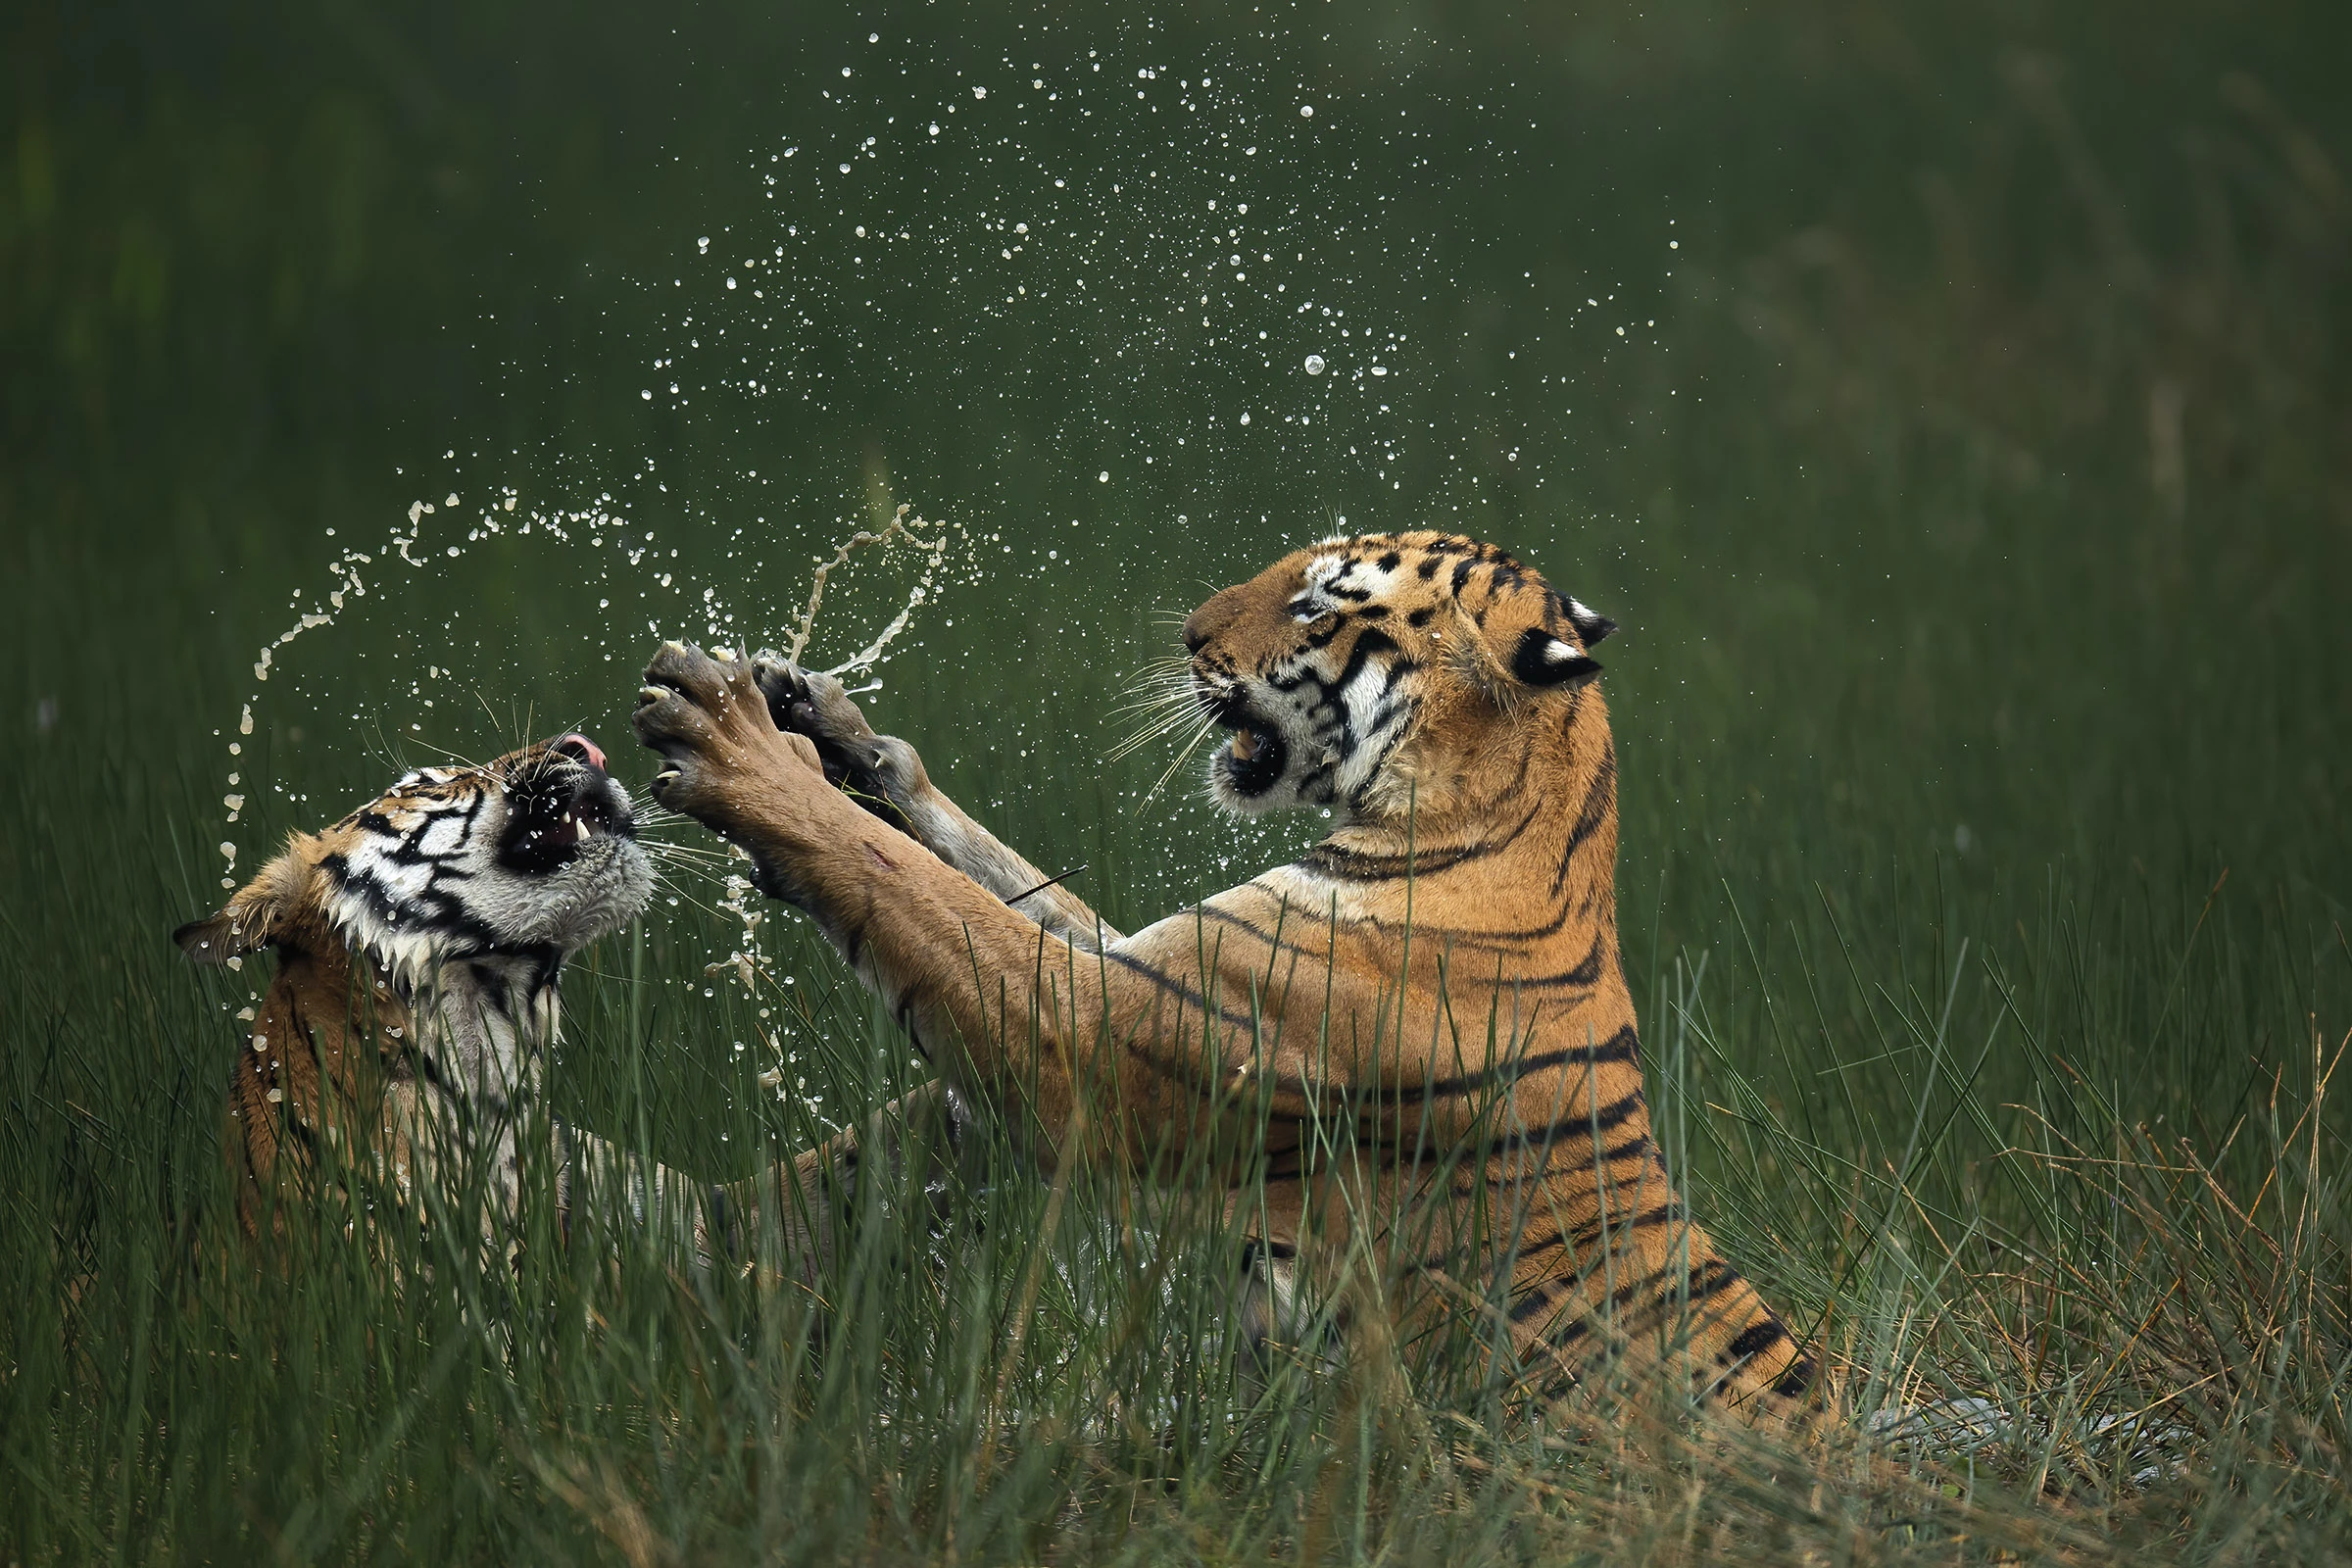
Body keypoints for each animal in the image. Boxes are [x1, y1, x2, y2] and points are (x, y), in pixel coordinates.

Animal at [630, 531, 1815, 1410]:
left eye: (1319, 605)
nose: (1189, 633)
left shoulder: (1095, 1037)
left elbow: (914, 890)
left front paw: (735, 742)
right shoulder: (1148, 968)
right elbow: (986, 876)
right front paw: (823, 719)